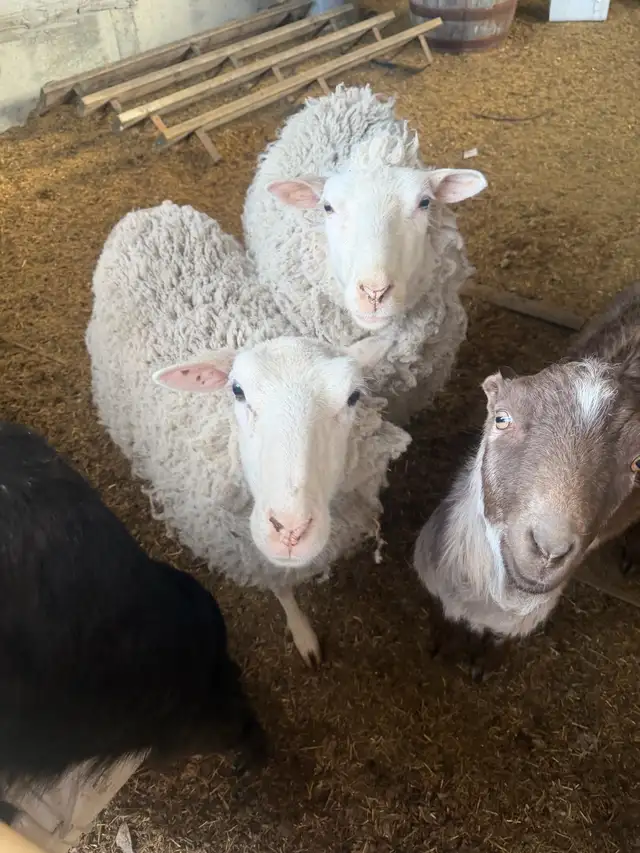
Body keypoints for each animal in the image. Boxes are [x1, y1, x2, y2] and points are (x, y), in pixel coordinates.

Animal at [85, 200, 412, 668]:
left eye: (353, 397)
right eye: (237, 391)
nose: (290, 530)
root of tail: (149, 211)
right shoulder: (252, 554)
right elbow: (281, 586)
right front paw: (302, 631)